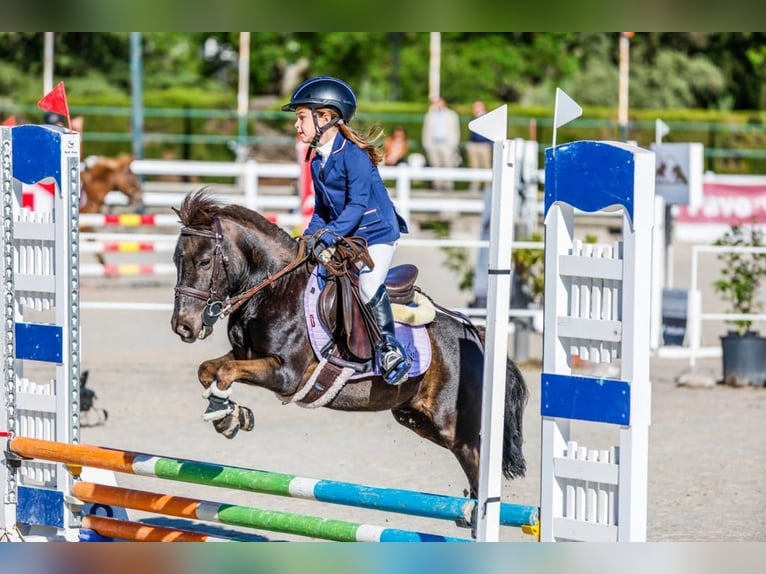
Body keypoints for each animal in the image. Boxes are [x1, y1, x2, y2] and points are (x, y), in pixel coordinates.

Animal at [170, 192, 528, 500]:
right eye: (177, 260)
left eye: (205, 262)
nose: (183, 326)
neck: (273, 287)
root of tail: (475, 334)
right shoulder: (247, 356)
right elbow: (210, 370)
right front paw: (229, 415)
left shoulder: (285, 374)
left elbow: (227, 371)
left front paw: (226, 414)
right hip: (417, 418)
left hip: (453, 426)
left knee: (477, 459)